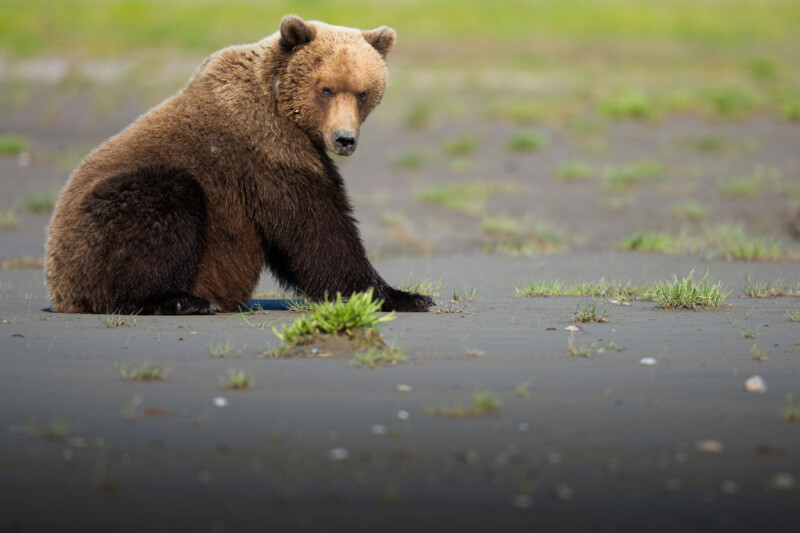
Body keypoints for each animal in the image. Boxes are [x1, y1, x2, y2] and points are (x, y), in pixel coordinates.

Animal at [45, 15, 434, 315]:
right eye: (326, 89)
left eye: (362, 92)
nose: (344, 139)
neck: (281, 105)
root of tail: (59, 290)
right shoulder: (268, 152)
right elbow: (317, 228)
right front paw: (404, 296)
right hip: (99, 225)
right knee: (161, 203)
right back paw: (181, 300)